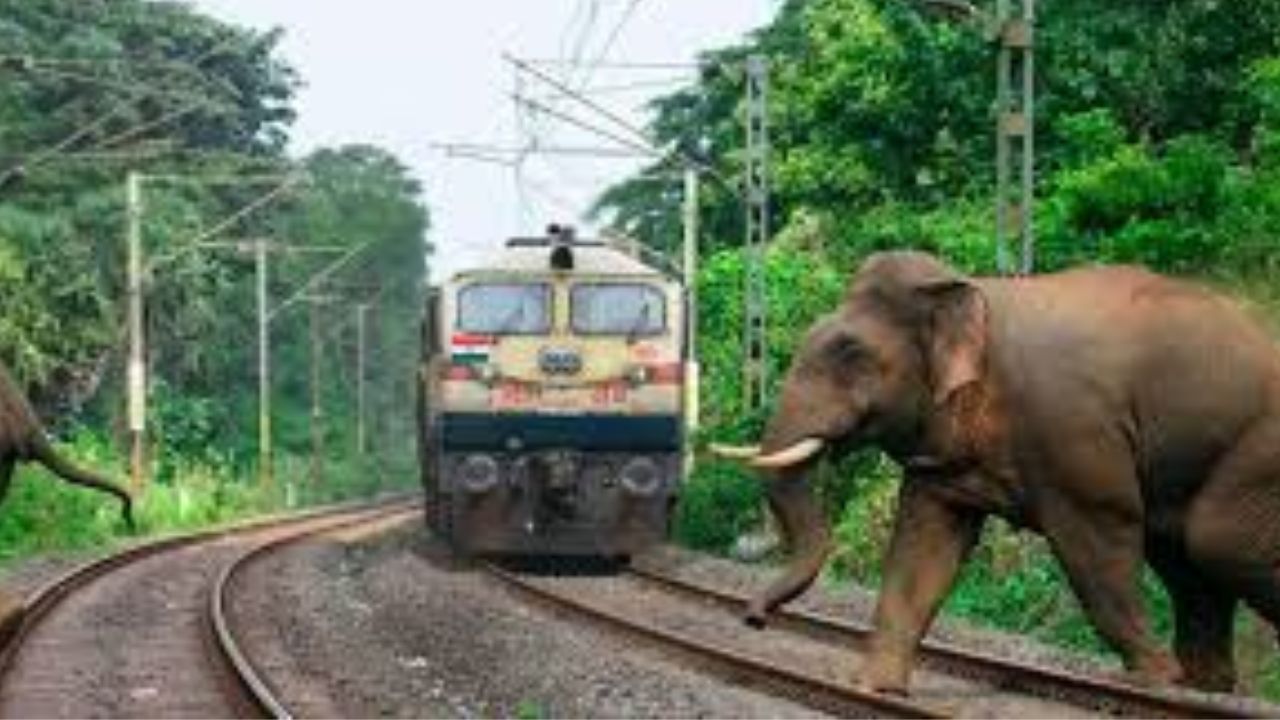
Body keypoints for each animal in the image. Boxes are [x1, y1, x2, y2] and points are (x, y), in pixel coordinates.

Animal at [715, 250, 1280, 695]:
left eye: (849, 352)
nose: (753, 618)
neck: (977, 291)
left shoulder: (1073, 429)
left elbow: (1097, 537)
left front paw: (1157, 677)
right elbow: (925, 542)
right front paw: (870, 687)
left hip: (1257, 450)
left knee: (1213, 541)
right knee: (1184, 560)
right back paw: (1209, 685)